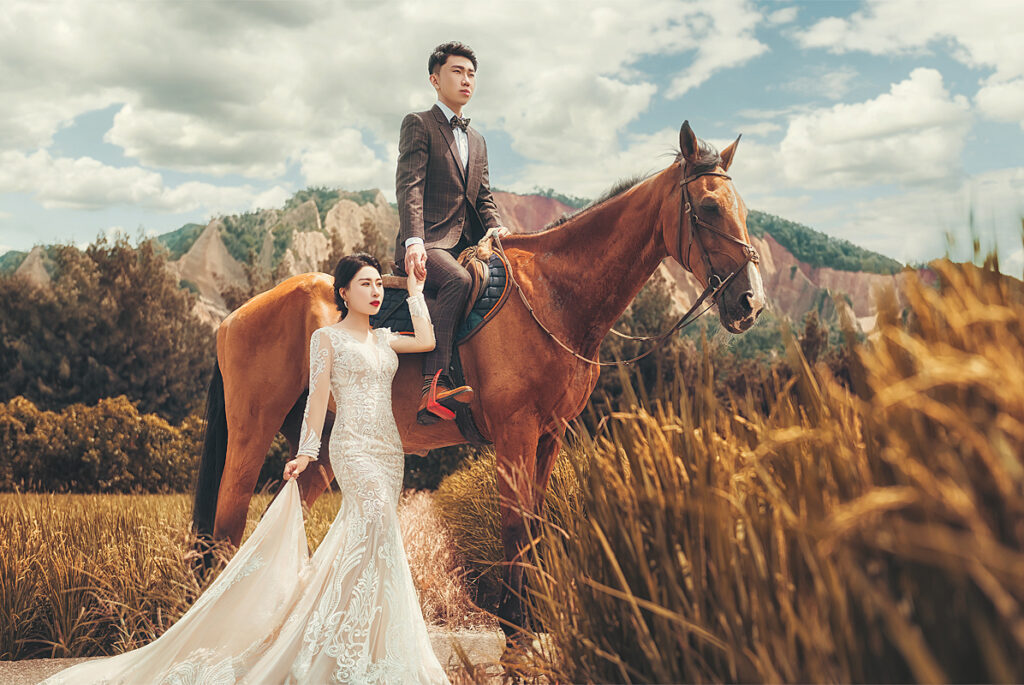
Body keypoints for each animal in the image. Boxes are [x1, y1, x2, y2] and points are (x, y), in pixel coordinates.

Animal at [193, 120, 770, 638]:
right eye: (710, 208)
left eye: (743, 209)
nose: (751, 302)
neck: (554, 297)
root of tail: (235, 317)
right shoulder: (514, 434)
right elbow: (513, 530)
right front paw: (515, 635)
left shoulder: (550, 435)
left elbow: (534, 528)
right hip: (250, 436)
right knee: (226, 528)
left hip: (321, 445)